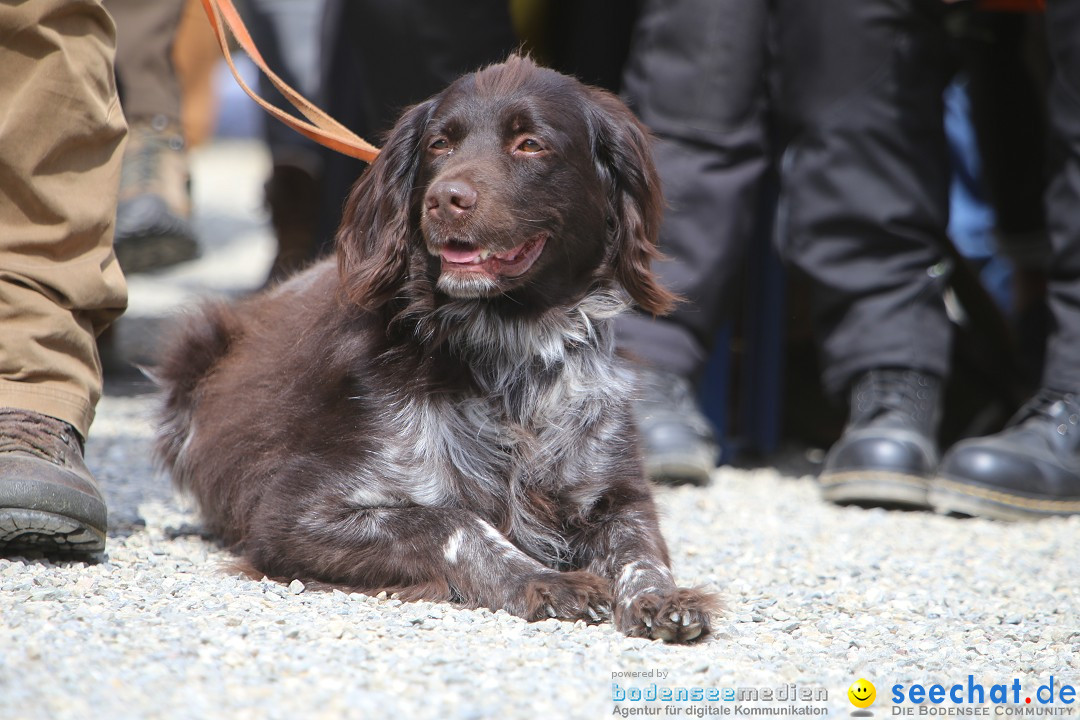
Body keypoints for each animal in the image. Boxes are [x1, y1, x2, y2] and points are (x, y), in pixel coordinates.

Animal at [154, 56, 717, 643]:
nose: (445, 198)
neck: (514, 351)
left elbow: (642, 551)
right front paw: (545, 581)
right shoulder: (292, 515)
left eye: (531, 145)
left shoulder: (619, 494)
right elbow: (454, 520)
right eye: (439, 144)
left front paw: (663, 598)